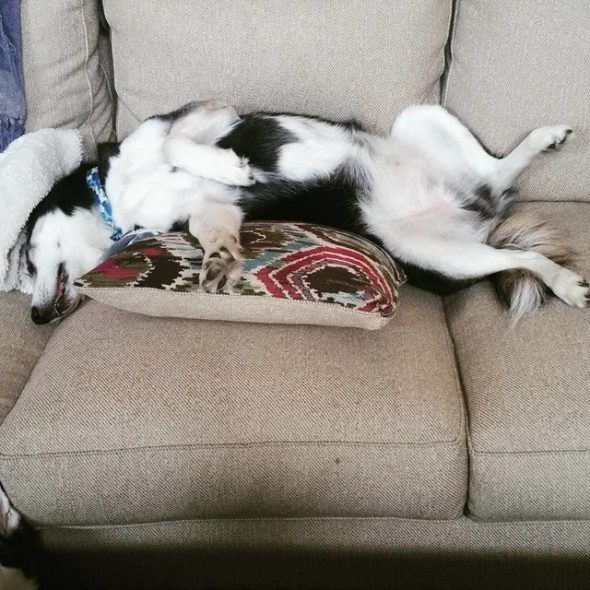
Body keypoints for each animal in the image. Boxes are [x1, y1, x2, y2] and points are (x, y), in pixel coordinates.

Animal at [25, 101, 588, 324]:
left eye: (26, 258)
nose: (33, 317)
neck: (115, 196)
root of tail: (479, 210)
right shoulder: (209, 211)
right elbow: (213, 233)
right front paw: (219, 259)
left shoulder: (206, 115)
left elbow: (177, 146)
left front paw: (230, 166)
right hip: (436, 247)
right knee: (504, 196)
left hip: (420, 120)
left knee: (510, 206)